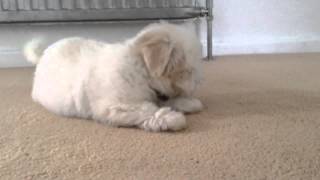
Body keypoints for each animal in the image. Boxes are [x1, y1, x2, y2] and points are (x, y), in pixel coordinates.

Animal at [25, 22, 205, 132]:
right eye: (188, 70)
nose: (199, 81)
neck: (141, 72)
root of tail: (42, 55)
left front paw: (188, 103)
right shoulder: (114, 107)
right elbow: (147, 109)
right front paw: (172, 118)